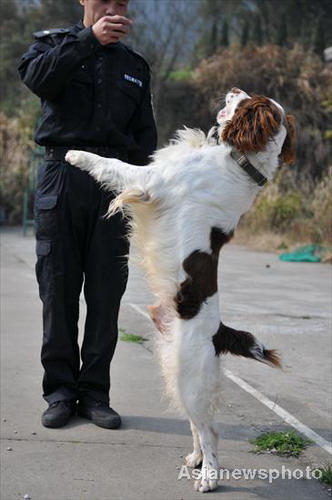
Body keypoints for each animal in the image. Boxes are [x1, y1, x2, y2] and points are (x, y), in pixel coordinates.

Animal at [65, 88, 296, 490]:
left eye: (249, 100)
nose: (234, 90)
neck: (239, 163)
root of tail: (220, 333)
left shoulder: (151, 180)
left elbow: (111, 162)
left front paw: (76, 154)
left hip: (190, 376)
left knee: (211, 431)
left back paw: (210, 478)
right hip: (174, 367)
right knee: (196, 427)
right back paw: (195, 460)